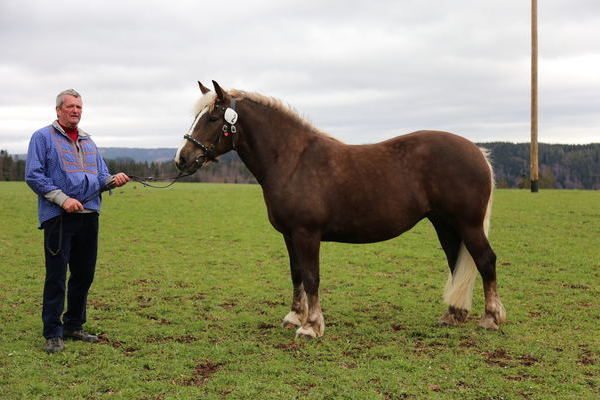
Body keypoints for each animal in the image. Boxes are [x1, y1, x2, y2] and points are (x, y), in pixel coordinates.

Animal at [175, 80, 506, 338]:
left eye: (213, 118)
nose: (182, 158)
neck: (292, 160)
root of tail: (478, 151)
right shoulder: (289, 235)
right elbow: (296, 273)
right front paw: (294, 317)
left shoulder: (307, 234)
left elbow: (312, 276)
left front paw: (311, 326)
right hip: (445, 224)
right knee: (457, 261)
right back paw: (454, 314)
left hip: (468, 224)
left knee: (485, 260)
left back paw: (491, 318)